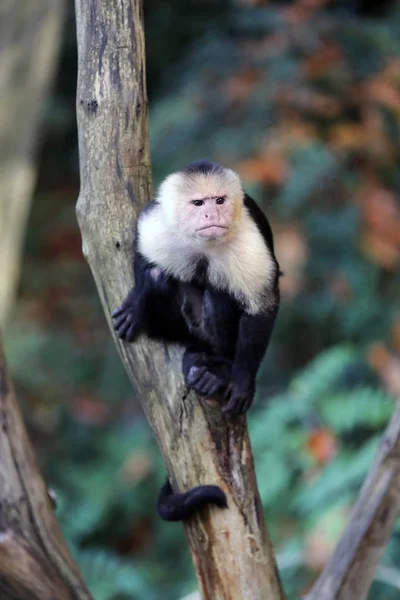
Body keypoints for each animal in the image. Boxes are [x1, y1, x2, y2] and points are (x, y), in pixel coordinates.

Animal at [111, 159, 282, 520]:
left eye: (219, 200)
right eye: (198, 203)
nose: (211, 214)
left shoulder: (249, 242)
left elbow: (262, 307)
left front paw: (241, 381)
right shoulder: (158, 225)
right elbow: (143, 254)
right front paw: (135, 302)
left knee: (220, 290)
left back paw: (215, 367)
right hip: (178, 328)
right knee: (160, 274)